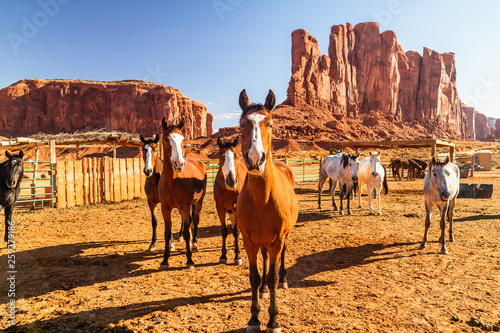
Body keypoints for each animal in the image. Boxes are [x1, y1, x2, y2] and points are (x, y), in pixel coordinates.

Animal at [157, 118, 206, 268]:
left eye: (182, 139)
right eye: (167, 139)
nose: (179, 164)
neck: (173, 181)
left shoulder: (185, 207)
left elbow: (186, 231)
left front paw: (189, 261)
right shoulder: (165, 208)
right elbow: (167, 233)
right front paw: (165, 260)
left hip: (198, 202)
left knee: (194, 221)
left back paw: (194, 244)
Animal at [214, 135, 247, 264]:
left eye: (236, 156)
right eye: (221, 157)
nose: (231, 181)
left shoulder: (236, 207)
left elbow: (235, 231)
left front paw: (237, 256)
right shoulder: (220, 208)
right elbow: (224, 231)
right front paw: (223, 255)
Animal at [237, 89, 298, 332]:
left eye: (270, 124)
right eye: (242, 124)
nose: (255, 159)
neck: (262, 199)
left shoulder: (277, 239)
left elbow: (272, 277)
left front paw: (274, 321)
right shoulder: (248, 241)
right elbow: (254, 277)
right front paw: (254, 319)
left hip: (283, 238)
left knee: (282, 257)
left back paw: (284, 279)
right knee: (264, 261)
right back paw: (263, 289)